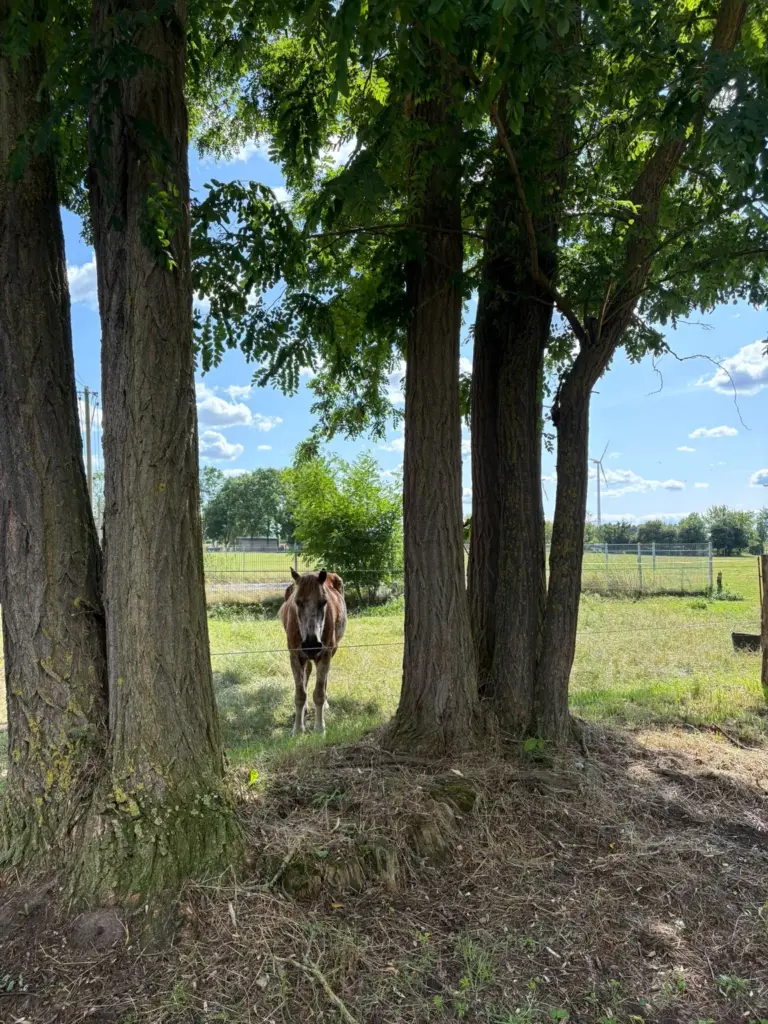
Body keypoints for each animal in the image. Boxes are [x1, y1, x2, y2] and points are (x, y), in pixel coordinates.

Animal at [279, 568, 347, 735]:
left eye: (324, 602)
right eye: (297, 602)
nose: (312, 644)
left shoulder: (325, 654)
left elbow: (319, 693)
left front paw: (319, 728)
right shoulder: (295, 656)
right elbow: (300, 694)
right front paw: (297, 729)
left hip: (332, 651)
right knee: (307, 672)